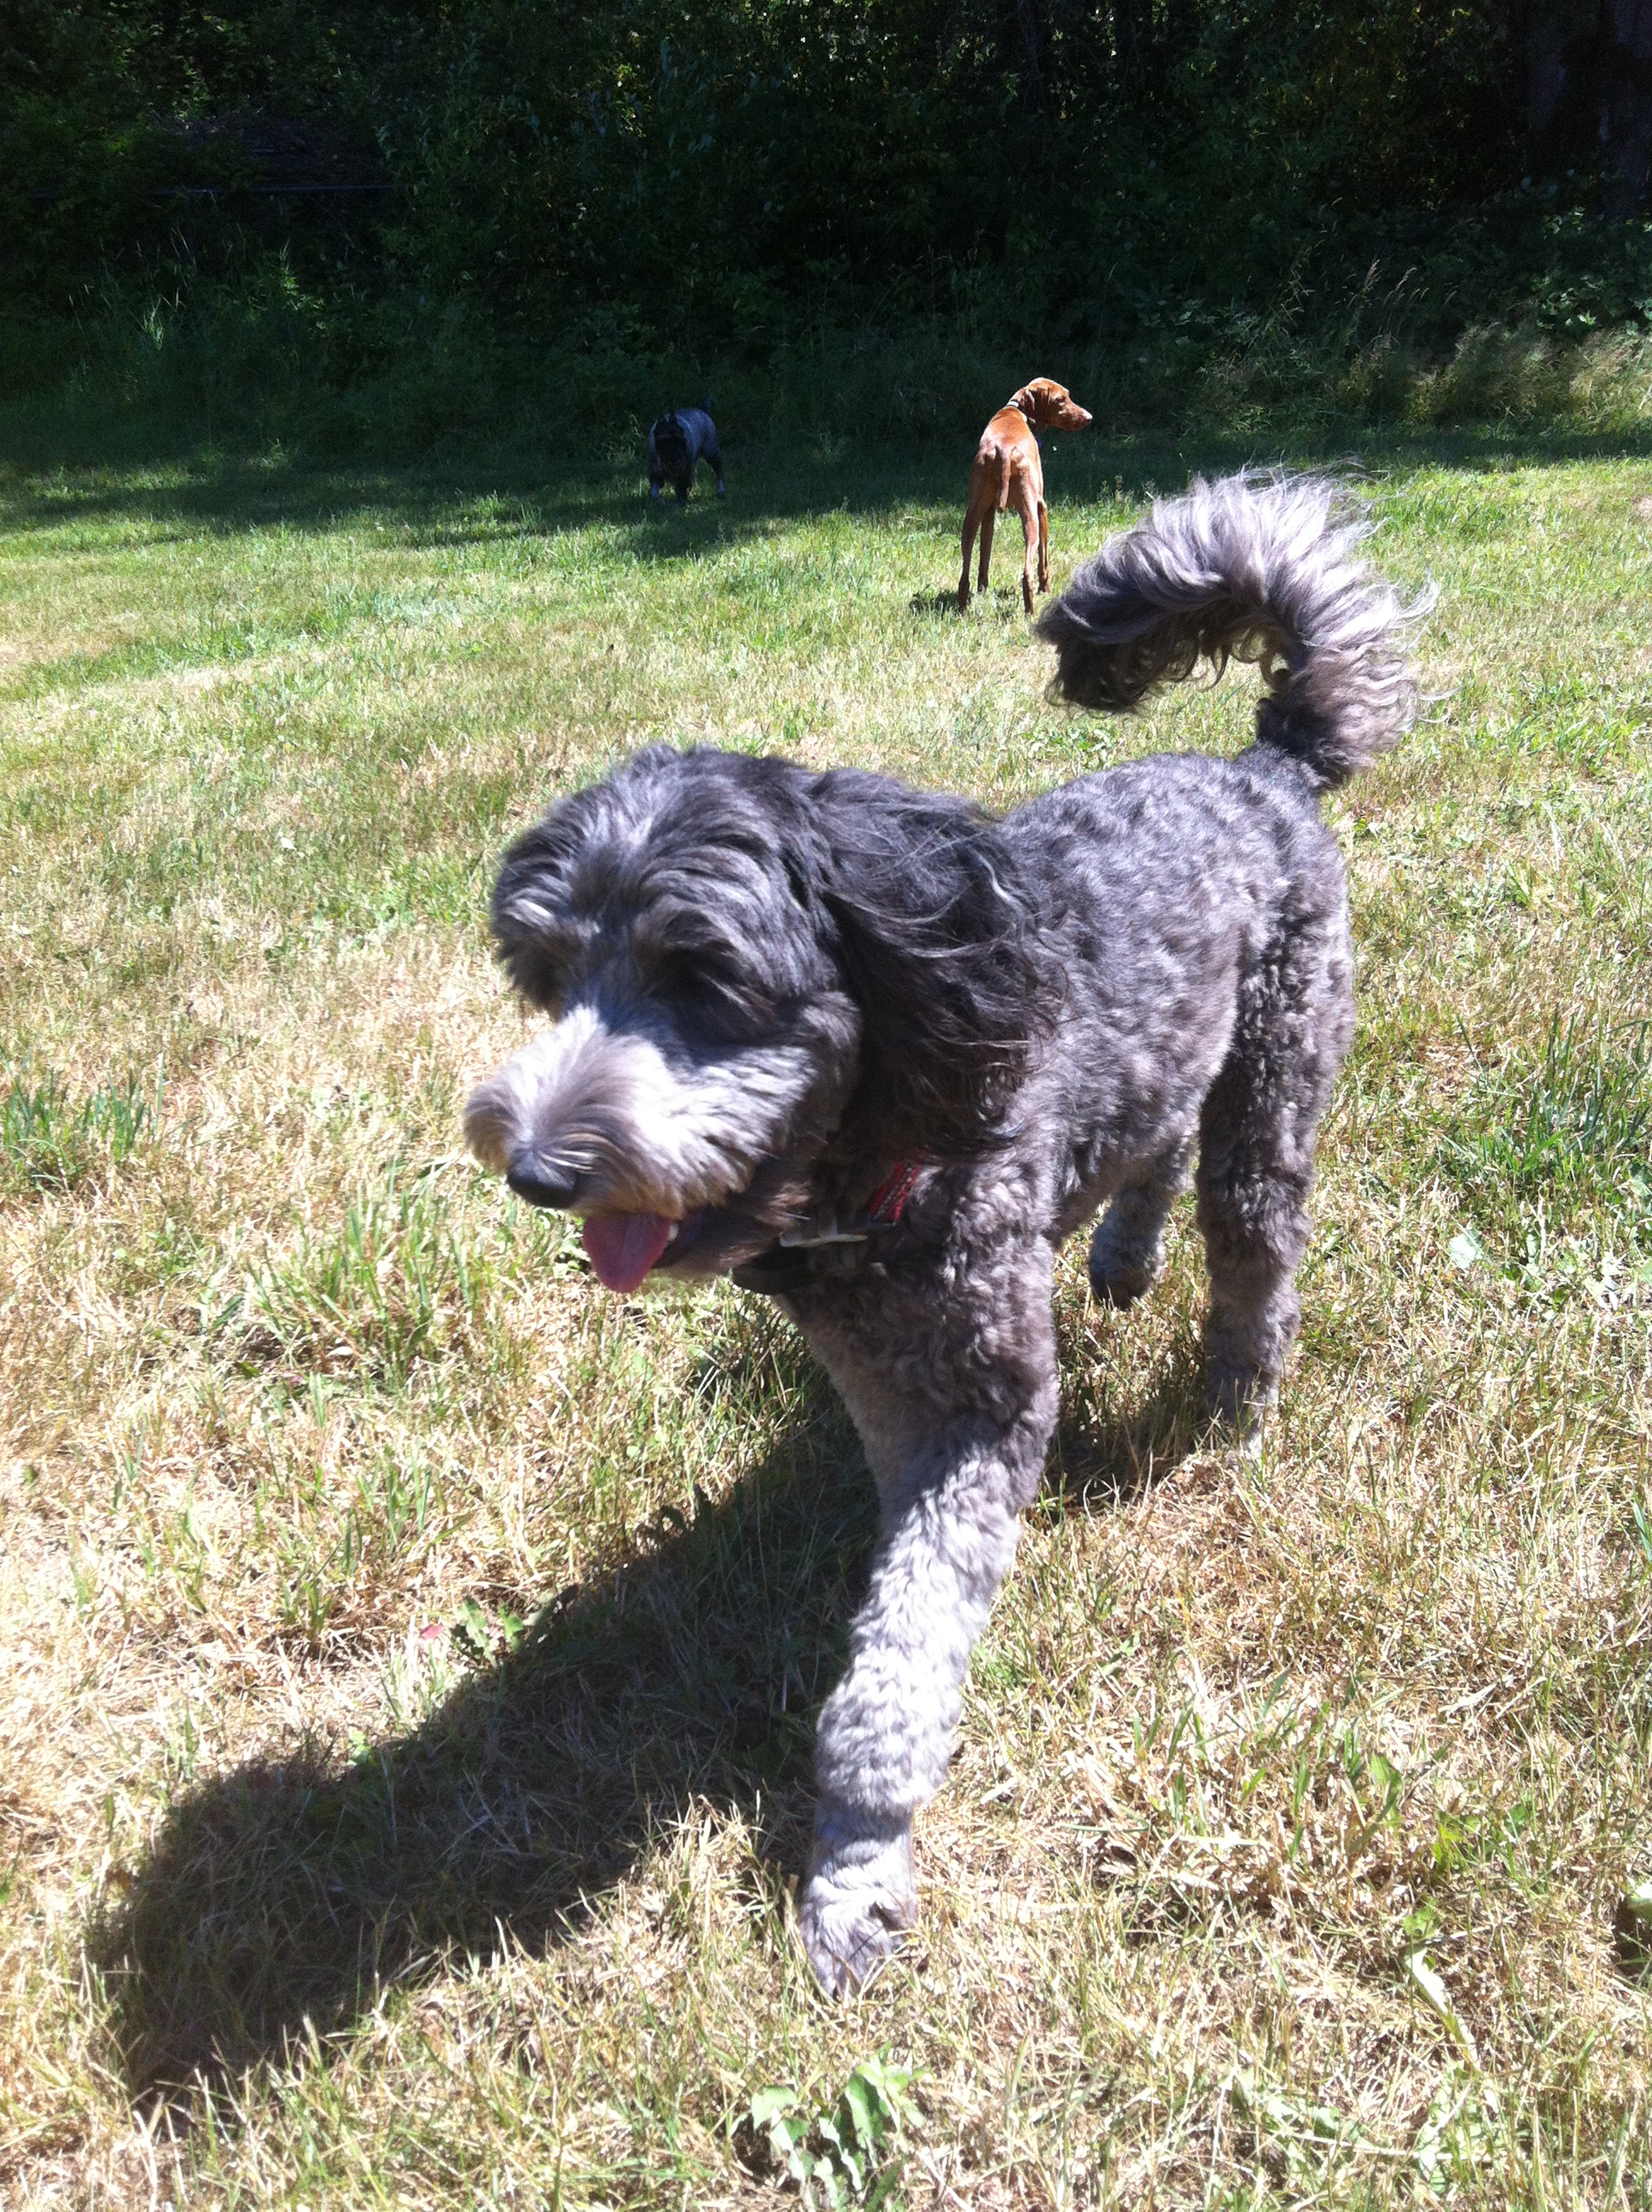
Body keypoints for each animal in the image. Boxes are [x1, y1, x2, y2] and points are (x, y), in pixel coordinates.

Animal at [464, 475, 1424, 1995]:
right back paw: (1124, 1257)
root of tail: (1266, 768)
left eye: (704, 976)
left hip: (1278, 1075)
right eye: (546, 974)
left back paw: (1233, 1404)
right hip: (1176, 1062)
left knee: (1255, 1251)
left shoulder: (982, 1406)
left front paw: (855, 1872)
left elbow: (901, 1657)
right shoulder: (885, 1381)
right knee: (1153, 1148)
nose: (541, 1171)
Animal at [959, 377, 1092, 615]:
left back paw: (963, 606)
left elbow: (985, 554)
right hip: (1031, 520)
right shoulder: (1042, 508)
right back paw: (1031, 609)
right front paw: (1046, 587)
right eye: (1061, 399)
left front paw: (983, 588)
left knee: (965, 571)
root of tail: (1003, 450)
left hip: (971, 517)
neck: (1016, 412)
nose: (1089, 418)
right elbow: (1044, 558)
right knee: (1027, 571)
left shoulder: (989, 513)